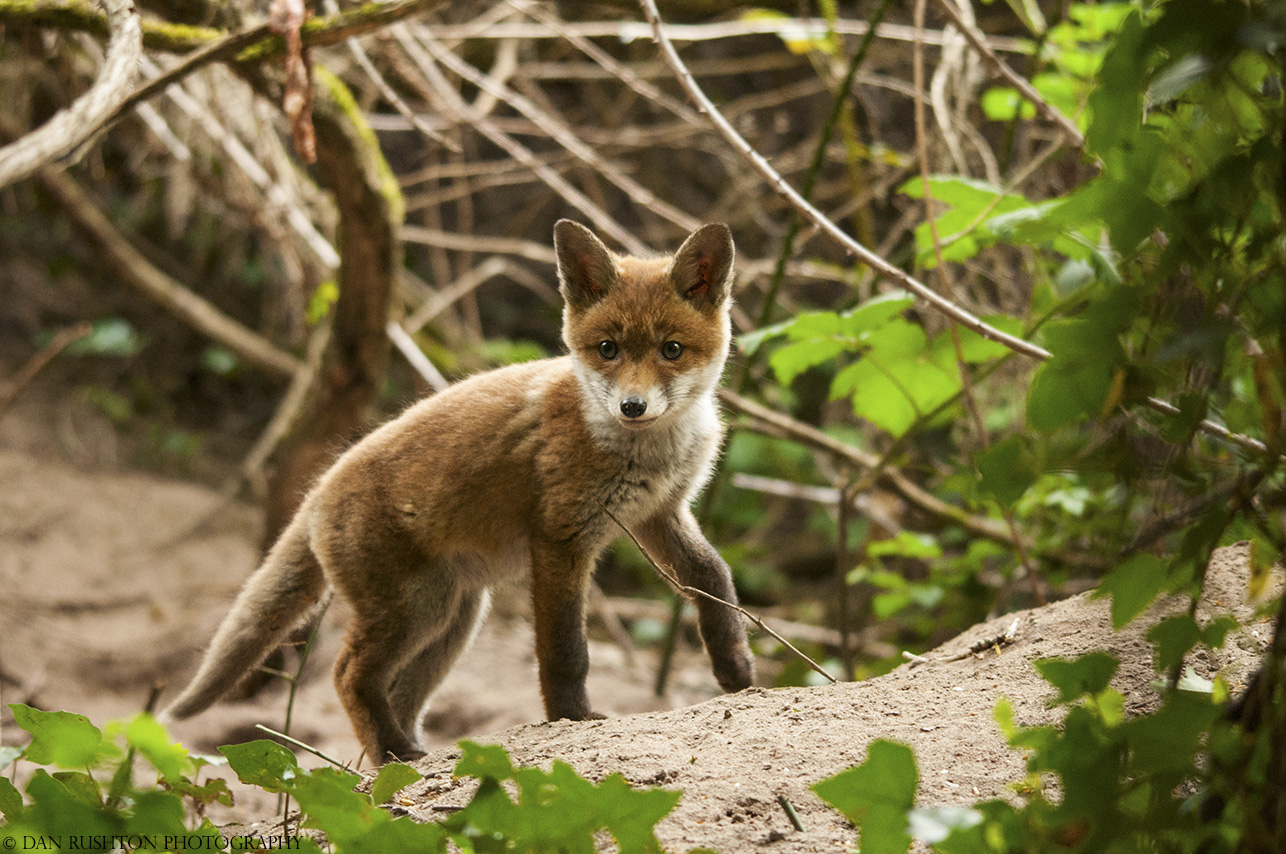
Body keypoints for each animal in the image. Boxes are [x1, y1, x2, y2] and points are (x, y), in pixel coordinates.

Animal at [165, 219, 756, 761]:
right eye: (608, 349)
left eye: (671, 349)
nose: (632, 407)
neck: (646, 450)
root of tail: (322, 485)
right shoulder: (561, 538)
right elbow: (565, 650)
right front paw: (572, 717)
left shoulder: (659, 513)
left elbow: (714, 577)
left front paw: (735, 666)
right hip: (418, 609)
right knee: (347, 673)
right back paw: (394, 755)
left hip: (455, 618)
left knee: (397, 694)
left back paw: (401, 760)